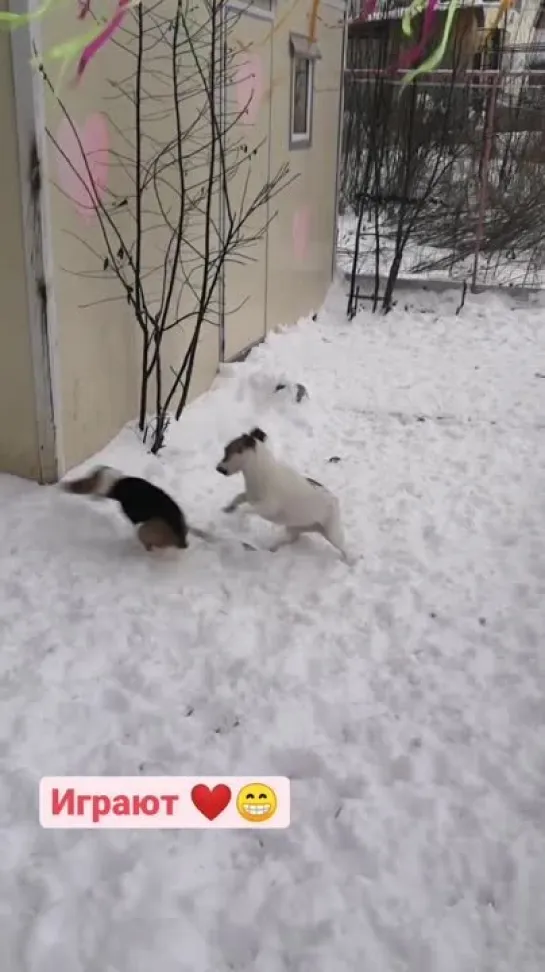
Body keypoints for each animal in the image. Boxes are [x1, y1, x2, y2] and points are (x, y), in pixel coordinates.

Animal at [215, 428, 346, 560]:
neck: (262, 472)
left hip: (332, 532)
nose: (218, 468)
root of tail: (335, 499)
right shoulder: (250, 496)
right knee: (291, 538)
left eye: (231, 450)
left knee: (345, 549)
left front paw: (240, 522)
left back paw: (347, 560)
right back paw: (271, 549)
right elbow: (238, 498)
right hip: (296, 527)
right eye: (225, 449)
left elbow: (244, 509)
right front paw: (228, 509)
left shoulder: (267, 507)